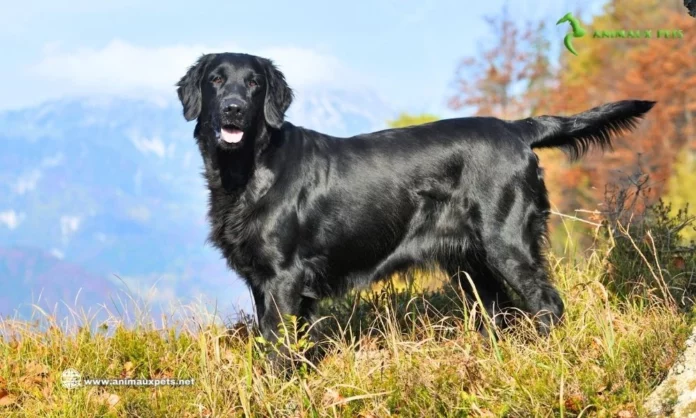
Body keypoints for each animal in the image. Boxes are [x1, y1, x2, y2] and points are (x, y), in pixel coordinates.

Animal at [177, 52, 656, 360]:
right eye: (216, 80)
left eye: (254, 83)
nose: (233, 109)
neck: (248, 169)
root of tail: (516, 129)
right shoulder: (263, 281)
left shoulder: (284, 277)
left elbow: (278, 350)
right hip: (472, 265)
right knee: (502, 312)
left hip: (507, 244)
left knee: (547, 304)